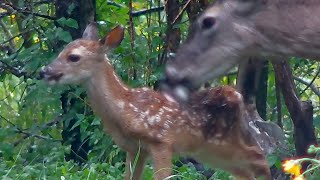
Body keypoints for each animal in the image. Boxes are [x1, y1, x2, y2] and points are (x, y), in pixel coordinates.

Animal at [40, 23, 270, 179]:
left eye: (74, 57)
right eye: (61, 51)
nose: (44, 71)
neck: (125, 110)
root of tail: (240, 99)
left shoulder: (161, 140)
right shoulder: (134, 148)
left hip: (225, 143)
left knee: (261, 158)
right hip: (211, 152)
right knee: (248, 169)